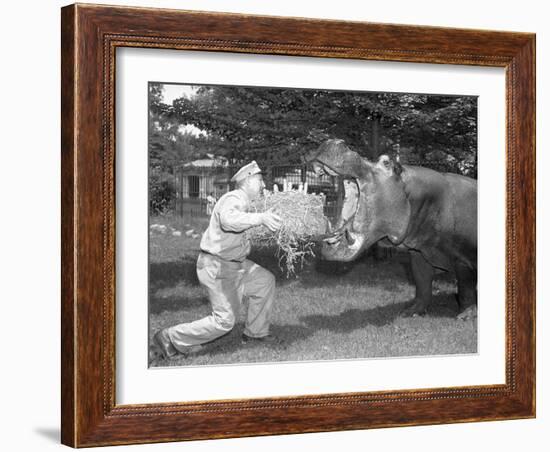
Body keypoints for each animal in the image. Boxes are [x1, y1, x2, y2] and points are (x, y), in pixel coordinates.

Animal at [310, 139, 478, 318]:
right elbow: (422, 284)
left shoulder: (463, 259)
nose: (333, 141)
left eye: (386, 162)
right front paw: (410, 312)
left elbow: (465, 289)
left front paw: (465, 316)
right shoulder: (419, 254)